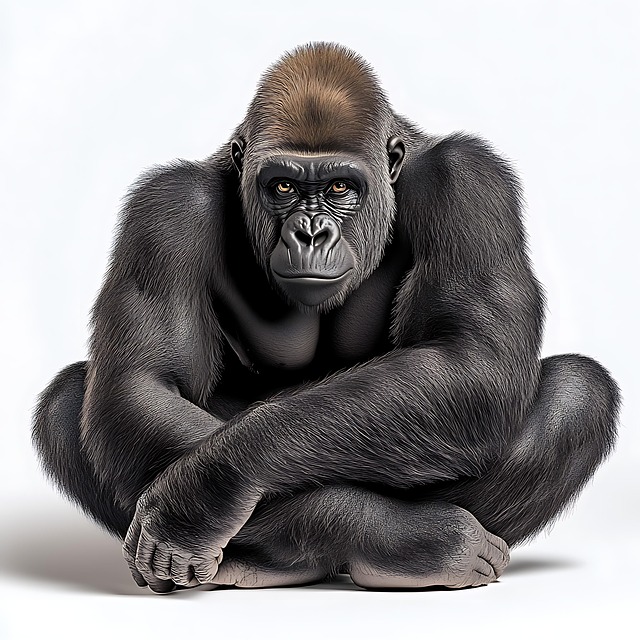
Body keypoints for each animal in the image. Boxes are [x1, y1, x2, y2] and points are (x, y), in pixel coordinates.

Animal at [32, 42, 619, 593]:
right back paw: (364, 546)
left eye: (340, 187)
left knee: (577, 390)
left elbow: (471, 360)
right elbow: (144, 386)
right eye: (283, 186)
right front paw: (377, 528)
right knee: (70, 399)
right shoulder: (167, 209)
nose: (311, 233)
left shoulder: (469, 180)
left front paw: (200, 492)